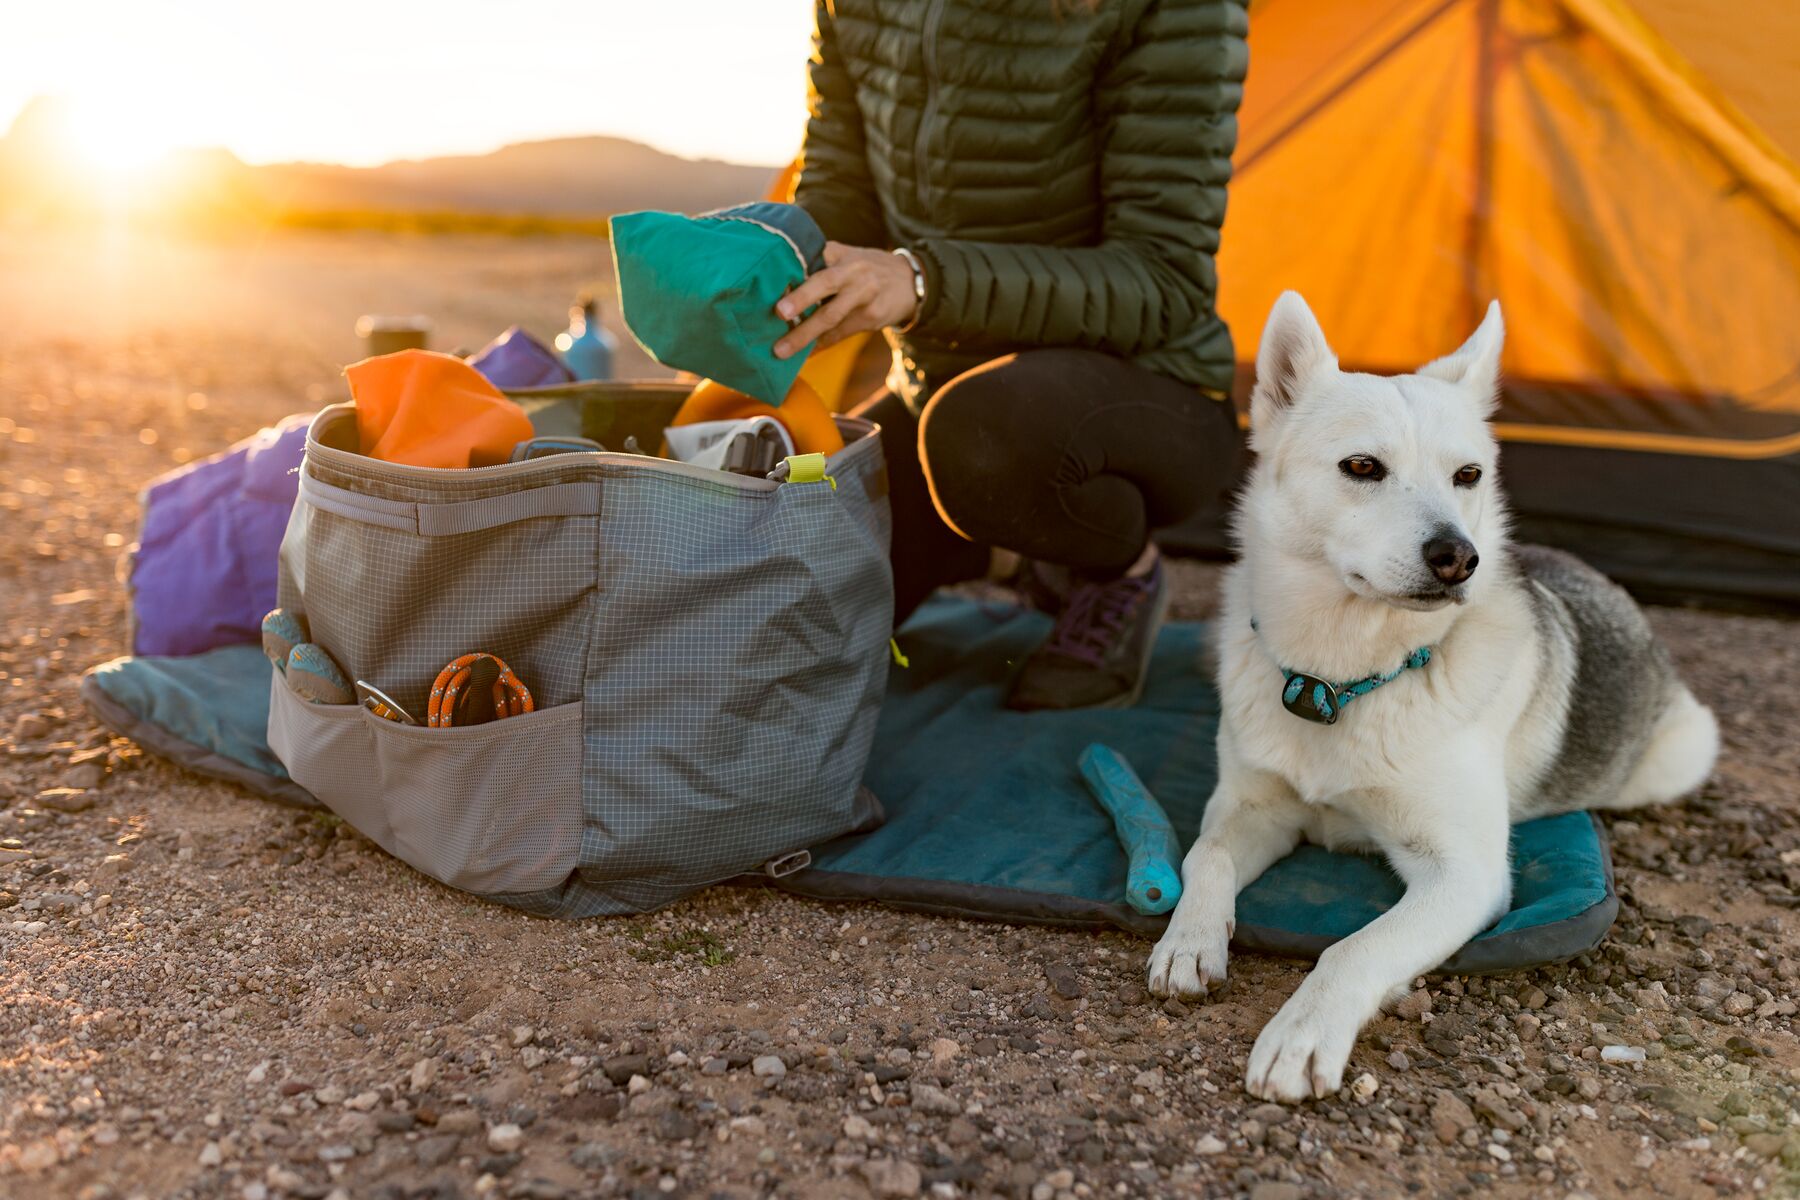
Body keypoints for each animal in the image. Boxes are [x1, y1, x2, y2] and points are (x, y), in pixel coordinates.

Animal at [1144, 295, 1720, 1101]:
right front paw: (1189, 939)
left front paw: (1302, 1032)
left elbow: (1354, 948)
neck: (1342, 681)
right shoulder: (1252, 806)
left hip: (1680, 754)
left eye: (1467, 474)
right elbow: (1207, 858)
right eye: (1362, 467)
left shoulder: (1463, 874)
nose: (1460, 559)